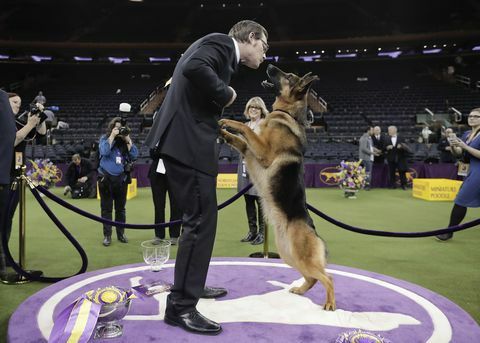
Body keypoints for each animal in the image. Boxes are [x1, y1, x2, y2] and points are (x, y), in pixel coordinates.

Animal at [219, 64, 336, 312]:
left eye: (288, 76)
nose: (269, 64)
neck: (287, 113)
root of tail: (313, 231)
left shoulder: (262, 151)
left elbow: (246, 128)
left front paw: (229, 123)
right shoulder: (248, 149)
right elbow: (239, 139)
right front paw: (222, 130)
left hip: (302, 257)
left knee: (328, 278)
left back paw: (330, 303)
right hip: (289, 255)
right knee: (312, 278)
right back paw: (300, 290)